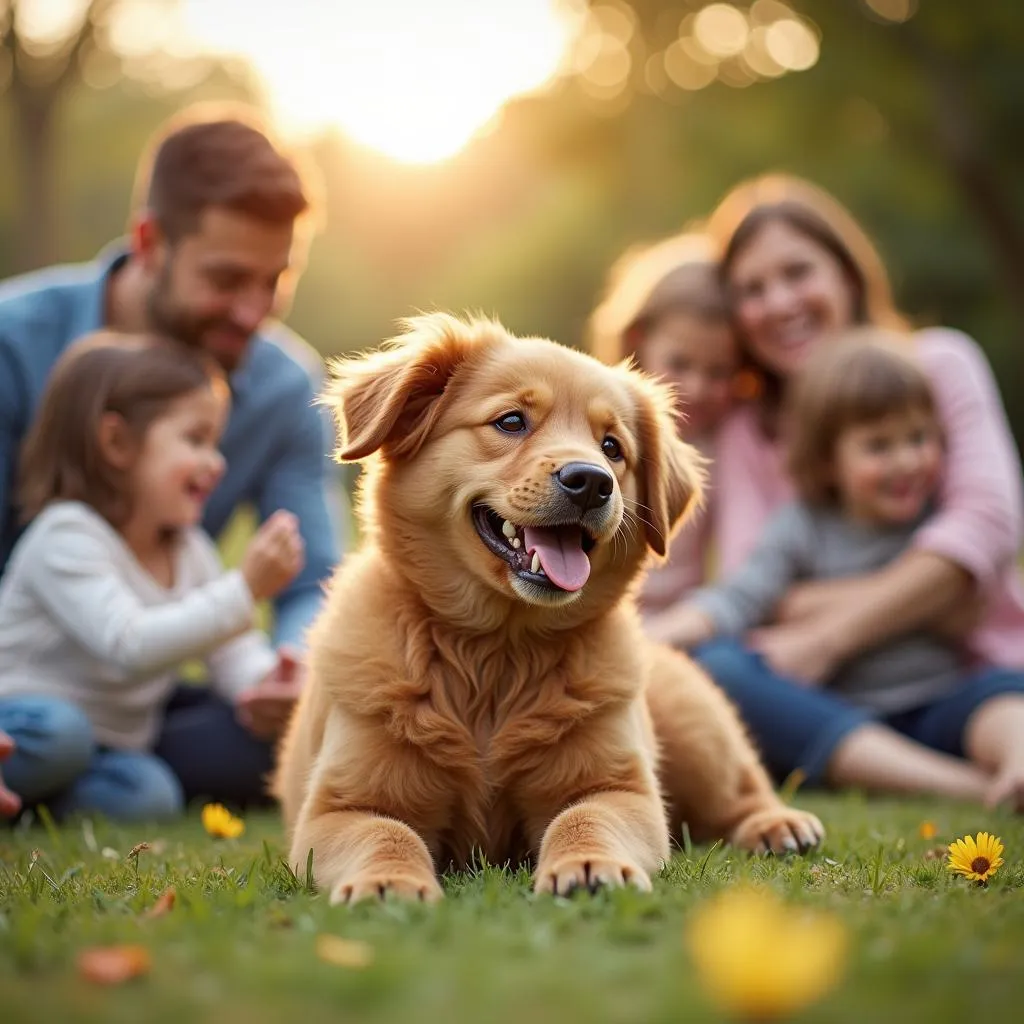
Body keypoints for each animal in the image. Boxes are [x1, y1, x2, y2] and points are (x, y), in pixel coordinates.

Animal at [274, 313, 823, 905]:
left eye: (612, 447)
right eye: (511, 421)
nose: (591, 482)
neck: (496, 653)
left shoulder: (620, 789)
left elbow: (583, 817)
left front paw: (588, 864)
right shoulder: (339, 807)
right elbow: (386, 831)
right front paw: (387, 881)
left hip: (699, 727)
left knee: (740, 791)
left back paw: (778, 824)